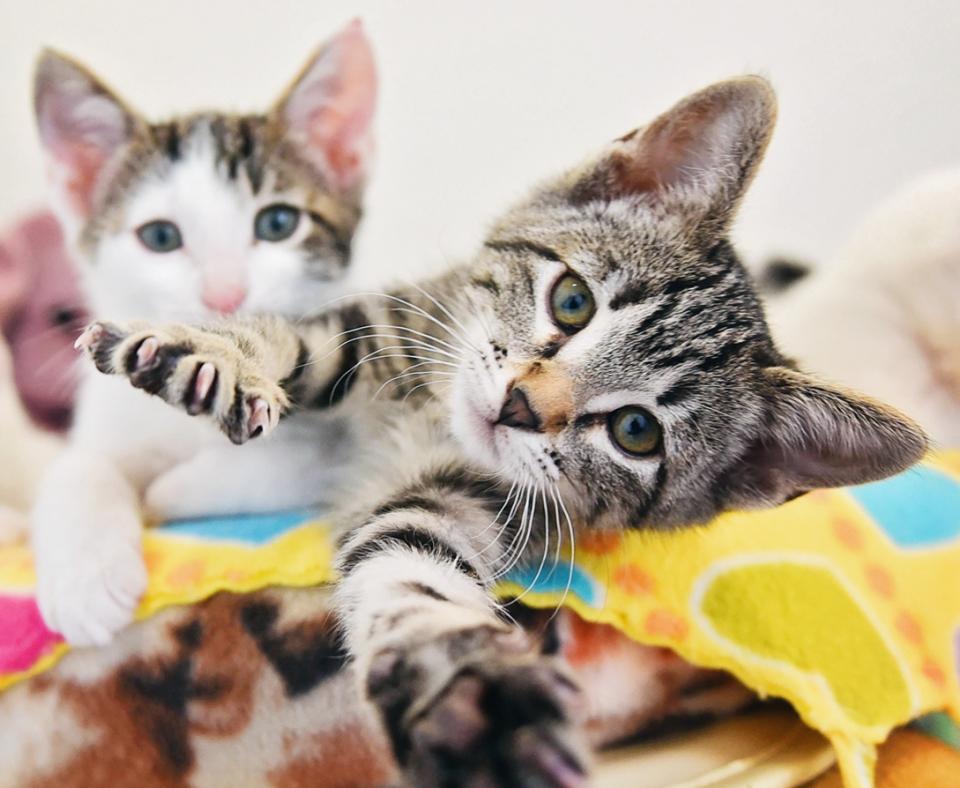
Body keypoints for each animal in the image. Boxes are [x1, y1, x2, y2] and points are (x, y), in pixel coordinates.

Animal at [31, 20, 376, 648]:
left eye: (278, 223)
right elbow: (76, 466)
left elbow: (291, 460)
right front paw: (86, 578)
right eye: (161, 237)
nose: (225, 296)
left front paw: (167, 492)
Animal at [80, 75, 924, 788]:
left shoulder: (458, 499)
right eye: (573, 301)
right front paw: (220, 359)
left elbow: (410, 572)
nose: (521, 405)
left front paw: (474, 701)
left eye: (637, 431)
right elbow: (301, 340)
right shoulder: (395, 321)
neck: (427, 417)